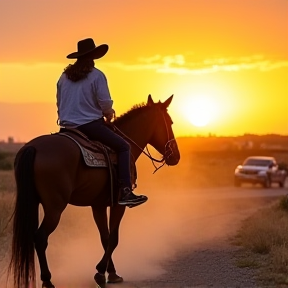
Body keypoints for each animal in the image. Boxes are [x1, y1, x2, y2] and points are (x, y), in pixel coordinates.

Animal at [9, 95, 180, 288]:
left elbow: (105, 238)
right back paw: (47, 281)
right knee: (40, 238)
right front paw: (99, 273)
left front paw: (111, 273)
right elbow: (113, 238)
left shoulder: (98, 205)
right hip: (54, 208)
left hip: (34, 202)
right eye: (170, 122)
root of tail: (33, 148)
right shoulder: (118, 204)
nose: (176, 156)